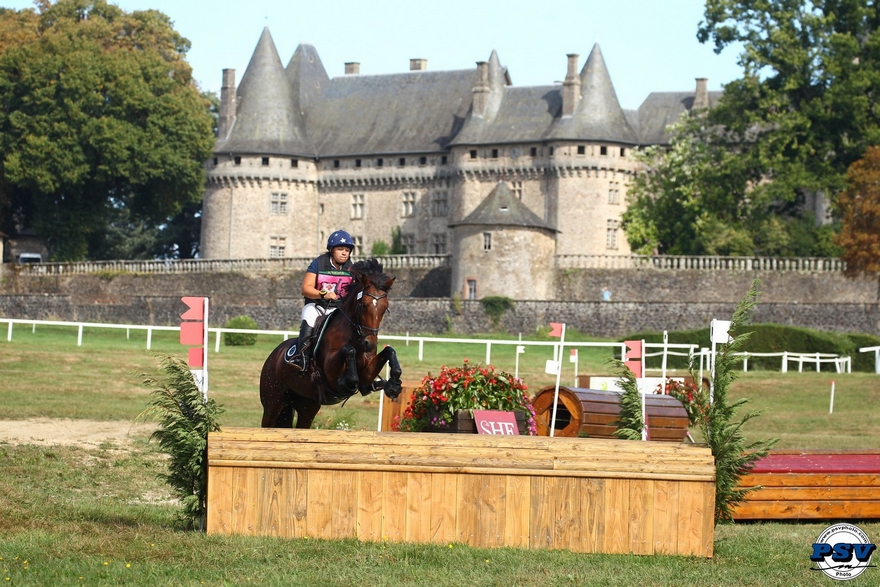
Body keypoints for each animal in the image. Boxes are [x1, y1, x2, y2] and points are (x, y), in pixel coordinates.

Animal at [258, 260, 402, 430]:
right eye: (363, 305)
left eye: (385, 308)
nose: (370, 344)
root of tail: (274, 355)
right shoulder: (329, 372)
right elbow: (348, 350)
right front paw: (349, 381)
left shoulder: (366, 374)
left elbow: (389, 351)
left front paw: (394, 384)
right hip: (273, 404)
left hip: (307, 406)